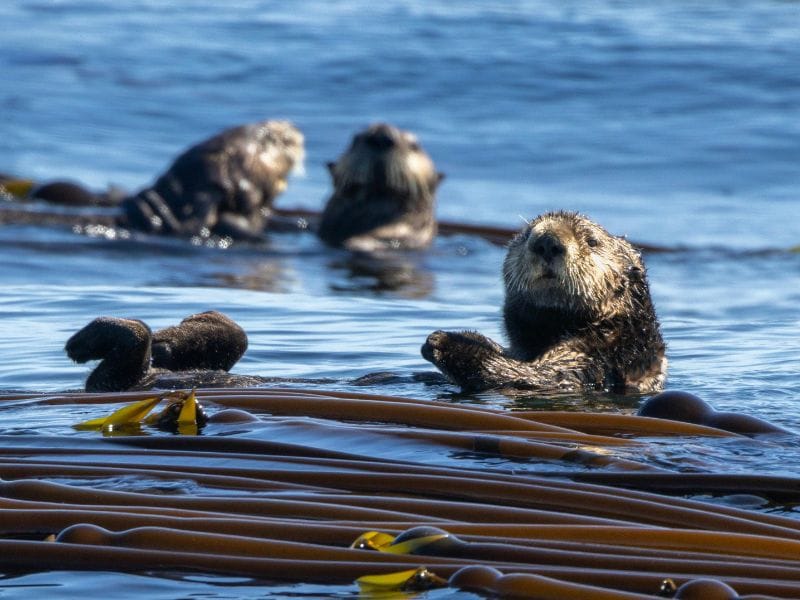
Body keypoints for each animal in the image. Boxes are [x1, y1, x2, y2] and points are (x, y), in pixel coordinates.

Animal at [421, 211, 667, 393]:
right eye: (526, 235)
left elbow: (535, 377)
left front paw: (443, 341)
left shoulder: (597, 360)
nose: (547, 242)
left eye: (592, 241)